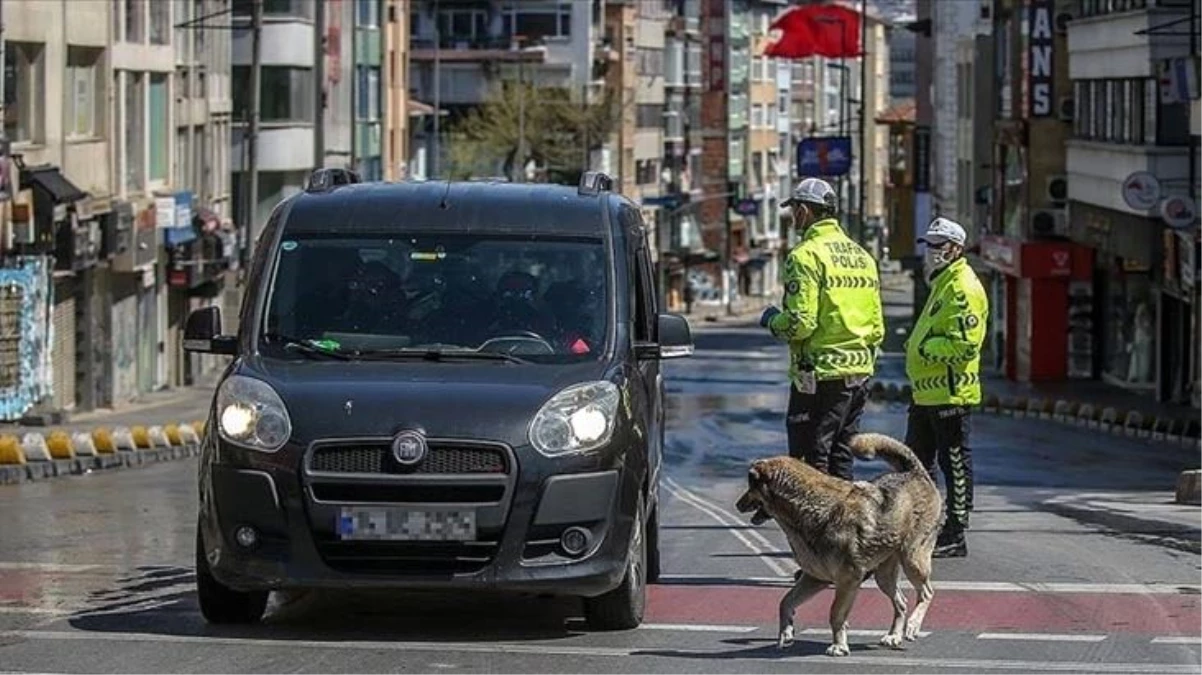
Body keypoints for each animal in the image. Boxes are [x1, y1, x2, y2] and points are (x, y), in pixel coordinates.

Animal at [730, 429, 947, 658]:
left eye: (750, 486)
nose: (737, 505)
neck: (808, 507)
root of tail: (915, 473)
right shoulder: (815, 578)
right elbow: (786, 601)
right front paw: (786, 632)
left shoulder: (848, 580)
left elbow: (835, 613)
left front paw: (838, 646)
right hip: (884, 575)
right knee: (901, 602)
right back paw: (894, 635)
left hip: (912, 559)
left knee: (926, 592)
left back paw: (913, 625)